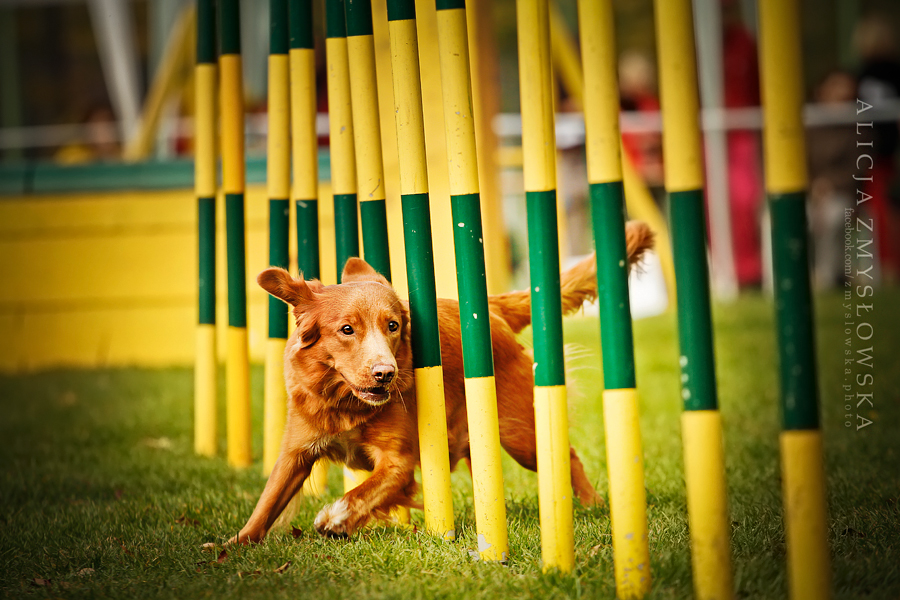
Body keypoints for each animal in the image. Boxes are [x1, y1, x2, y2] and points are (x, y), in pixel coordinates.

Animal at [227, 220, 648, 544]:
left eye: (393, 326)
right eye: (347, 330)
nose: (385, 374)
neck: (345, 401)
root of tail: (490, 308)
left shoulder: (398, 461)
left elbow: (362, 492)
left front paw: (336, 519)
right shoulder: (295, 451)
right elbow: (267, 502)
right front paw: (234, 547)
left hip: (517, 433)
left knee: (567, 455)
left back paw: (593, 505)